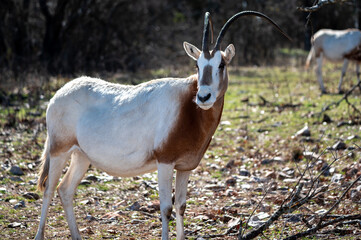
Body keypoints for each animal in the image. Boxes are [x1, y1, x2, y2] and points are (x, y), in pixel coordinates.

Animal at [33, 10, 286, 239]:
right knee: (48, 190)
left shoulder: (185, 167)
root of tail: (59, 94)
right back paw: (39, 235)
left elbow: (181, 206)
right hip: (59, 150)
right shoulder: (164, 162)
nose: (203, 97)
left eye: (221, 64)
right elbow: (166, 208)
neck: (187, 107)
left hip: (82, 156)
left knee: (65, 189)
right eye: (197, 65)